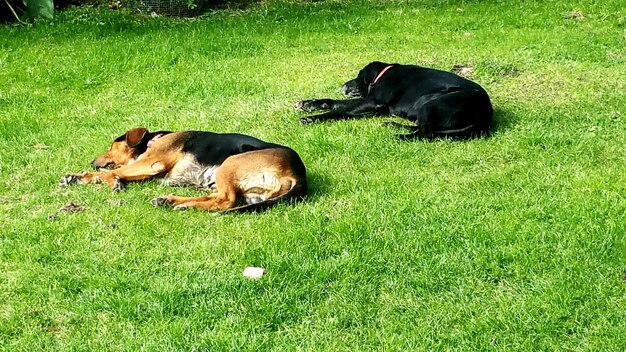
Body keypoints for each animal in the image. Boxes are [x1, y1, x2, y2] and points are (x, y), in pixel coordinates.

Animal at [57, 129, 306, 212]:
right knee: (216, 197)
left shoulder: (151, 163)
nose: (92, 161)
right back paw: (173, 201)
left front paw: (107, 180)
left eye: (110, 147)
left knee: (225, 201)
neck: (153, 140)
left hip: (230, 163)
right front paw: (77, 177)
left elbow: (111, 172)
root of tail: (299, 175)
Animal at [294, 61, 492, 140]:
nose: (343, 86)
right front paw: (308, 104)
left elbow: (339, 109)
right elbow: (338, 106)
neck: (384, 73)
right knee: (422, 128)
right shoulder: (374, 108)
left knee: (426, 133)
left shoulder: (374, 101)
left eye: (358, 76)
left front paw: (312, 118)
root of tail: (486, 113)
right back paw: (393, 125)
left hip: (430, 103)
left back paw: (399, 136)